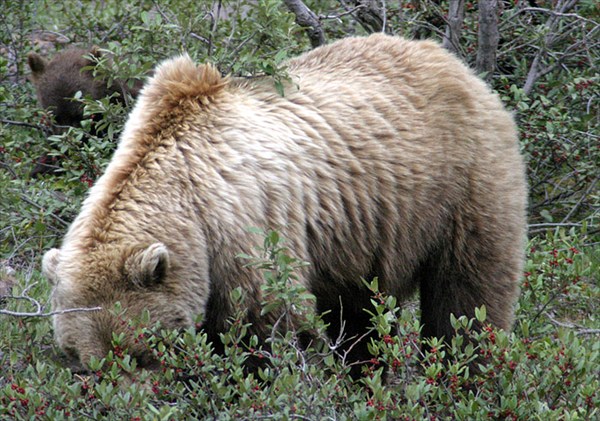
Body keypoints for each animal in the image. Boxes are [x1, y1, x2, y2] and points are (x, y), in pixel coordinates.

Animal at [42, 34, 528, 376]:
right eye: (81, 358)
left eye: (140, 350)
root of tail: (457, 64)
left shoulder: (246, 232)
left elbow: (257, 329)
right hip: (362, 233)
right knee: (359, 320)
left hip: (460, 187)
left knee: (466, 299)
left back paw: (461, 376)